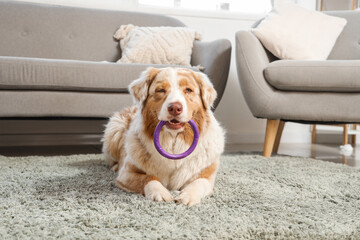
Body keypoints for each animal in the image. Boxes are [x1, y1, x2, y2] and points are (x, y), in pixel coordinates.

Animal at [102, 66, 225, 205]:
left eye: (188, 90)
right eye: (160, 90)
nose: (175, 108)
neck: (173, 141)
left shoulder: (208, 175)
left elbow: (199, 182)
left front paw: (188, 196)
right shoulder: (126, 174)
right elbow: (148, 177)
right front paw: (160, 192)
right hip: (115, 129)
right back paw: (115, 166)